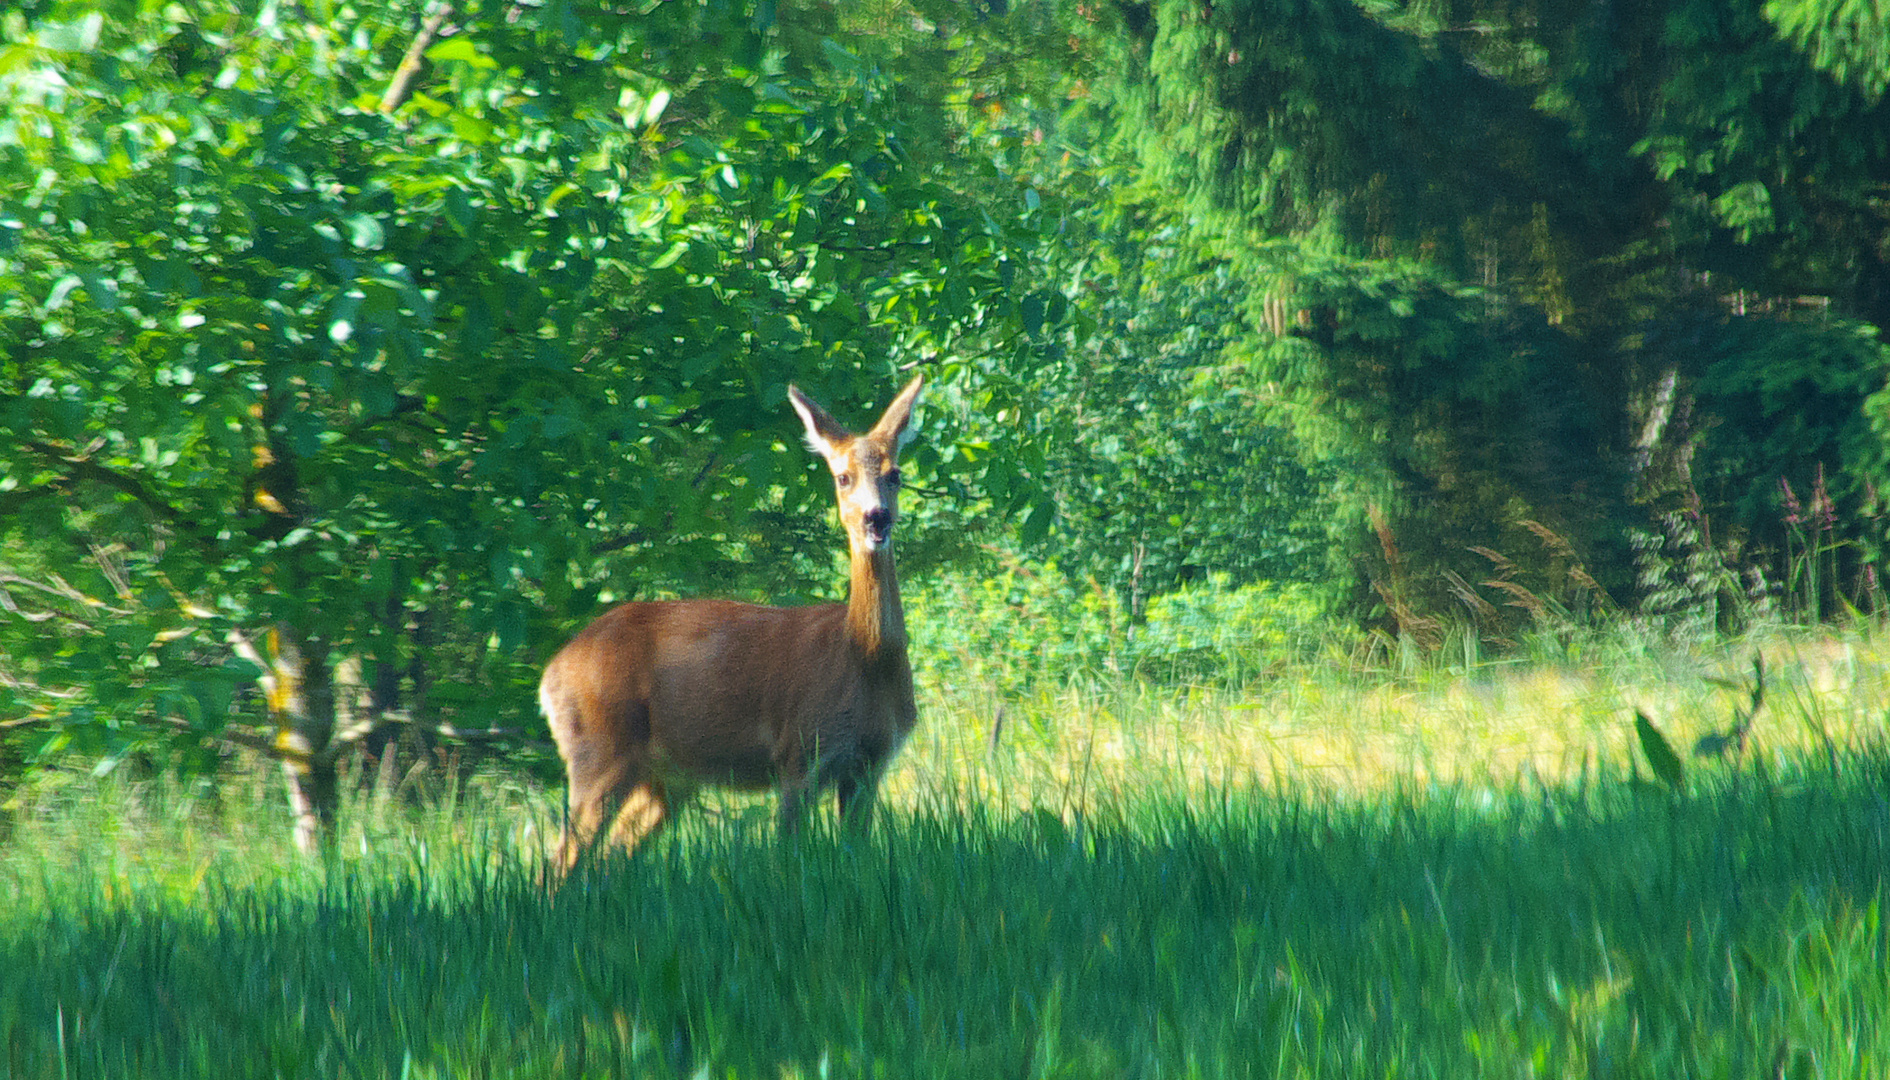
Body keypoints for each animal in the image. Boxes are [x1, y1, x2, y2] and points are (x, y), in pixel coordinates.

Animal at [540, 374, 922, 870]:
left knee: (607, 858)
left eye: (896, 474)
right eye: (842, 477)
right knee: (560, 863)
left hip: (666, 779)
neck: (865, 659)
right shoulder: (798, 753)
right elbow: (787, 852)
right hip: (598, 749)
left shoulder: (869, 766)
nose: (877, 518)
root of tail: (551, 675)